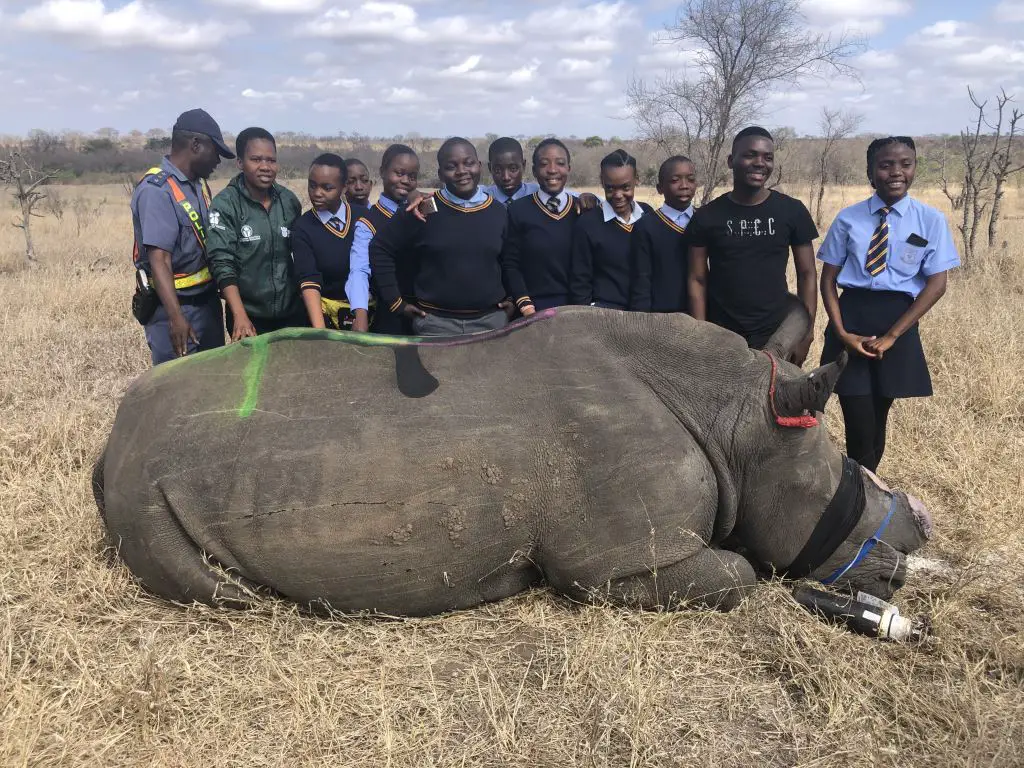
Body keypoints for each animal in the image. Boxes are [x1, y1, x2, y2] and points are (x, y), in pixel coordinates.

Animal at [96, 303, 937, 618]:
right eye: (837, 485)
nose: (916, 534)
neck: (735, 419)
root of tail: (110, 443)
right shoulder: (613, 562)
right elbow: (736, 575)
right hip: (145, 481)